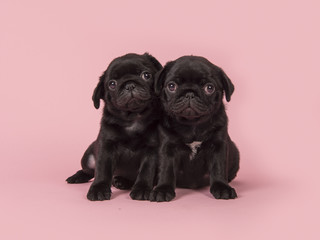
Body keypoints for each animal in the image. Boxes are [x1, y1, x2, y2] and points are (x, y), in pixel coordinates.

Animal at [67, 52, 162, 201]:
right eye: (112, 84)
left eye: (146, 75)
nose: (129, 85)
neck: (133, 118)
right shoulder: (106, 146)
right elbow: (103, 169)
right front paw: (99, 188)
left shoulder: (152, 149)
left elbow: (147, 170)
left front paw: (142, 189)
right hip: (87, 157)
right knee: (89, 171)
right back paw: (78, 177)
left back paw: (122, 181)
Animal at [151, 56, 240, 202]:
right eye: (171, 86)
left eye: (209, 88)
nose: (189, 93)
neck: (192, 124)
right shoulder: (167, 147)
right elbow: (166, 169)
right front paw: (163, 189)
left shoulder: (218, 146)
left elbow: (219, 167)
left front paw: (222, 187)